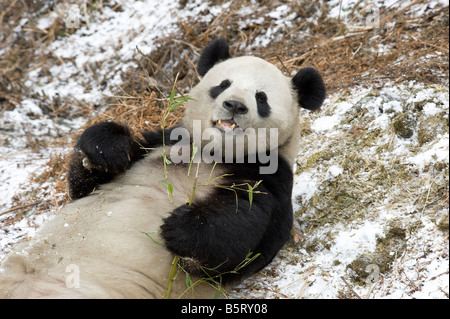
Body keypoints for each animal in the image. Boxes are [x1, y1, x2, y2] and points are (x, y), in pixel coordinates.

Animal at [0, 40, 326, 300]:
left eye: (261, 98)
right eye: (223, 84)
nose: (234, 105)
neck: (213, 152)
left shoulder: (272, 176)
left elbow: (242, 237)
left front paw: (181, 227)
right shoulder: (165, 140)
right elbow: (85, 184)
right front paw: (107, 150)